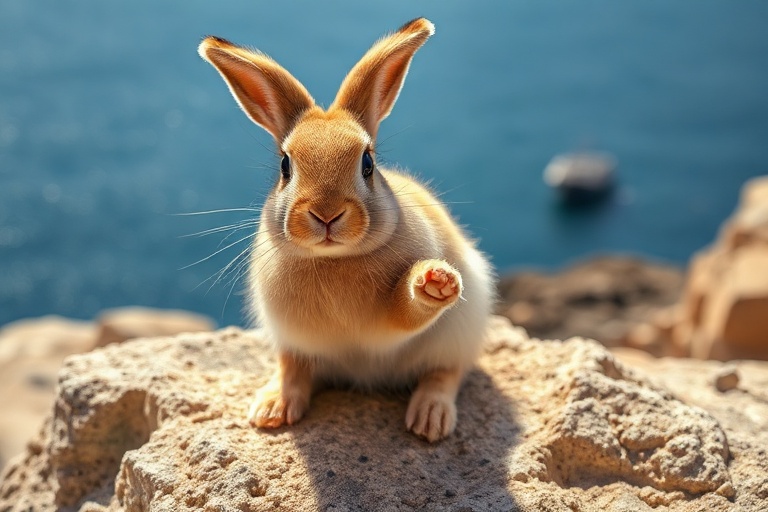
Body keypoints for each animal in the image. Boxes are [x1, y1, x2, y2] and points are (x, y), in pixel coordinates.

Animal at [198, 17, 494, 442]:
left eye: (367, 163)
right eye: (286, 166)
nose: (326, 214)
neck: (333, 260)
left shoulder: (389, 324)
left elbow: (407, 313)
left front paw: (434, 282)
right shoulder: (292, 338)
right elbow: (292, 367)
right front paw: (269, 413)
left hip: (459, 333)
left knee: (445, 373)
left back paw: (430, 419)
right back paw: (271, 409)